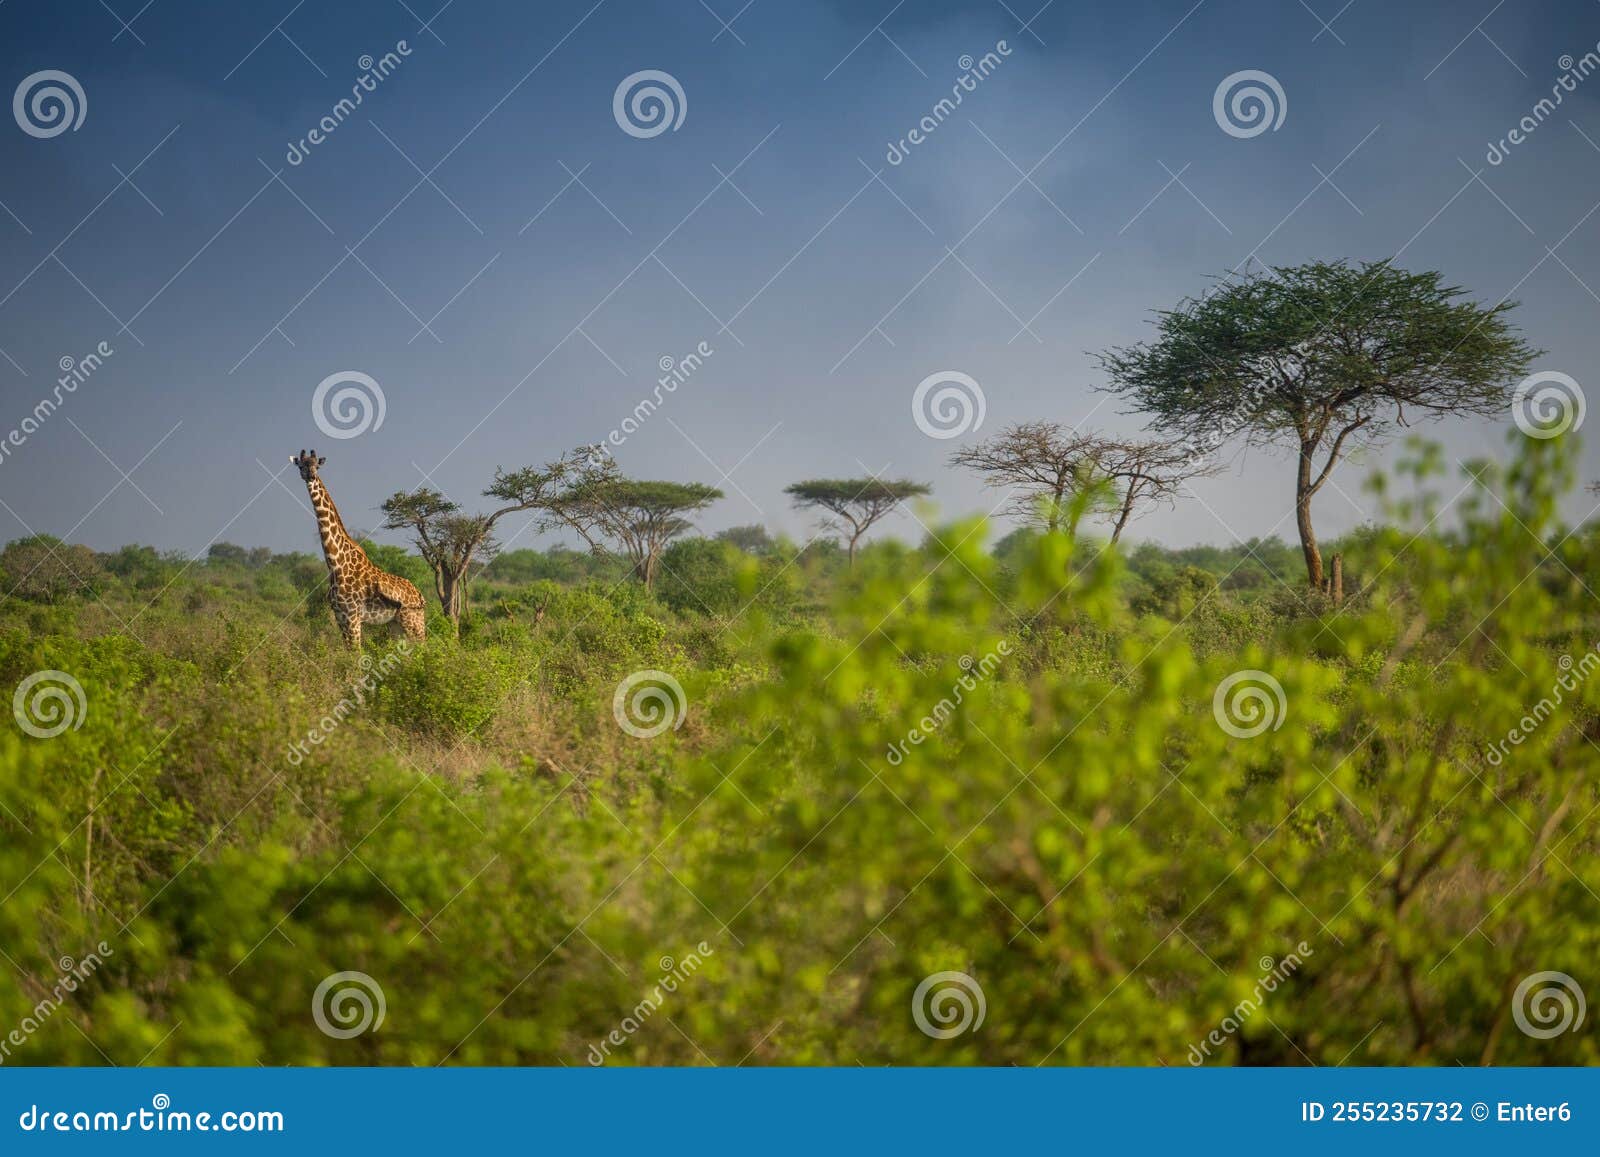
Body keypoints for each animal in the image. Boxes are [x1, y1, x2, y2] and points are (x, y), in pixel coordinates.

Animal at [289, 451, 425, 652]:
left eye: (317, 465)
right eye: (301, 465)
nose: (311, 476)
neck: (335, 563)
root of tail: (420, 595)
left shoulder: (353, 617)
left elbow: (356, 653)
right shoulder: (340, 616)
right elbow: (348, 653)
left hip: (414, 621)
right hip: (395, 624)